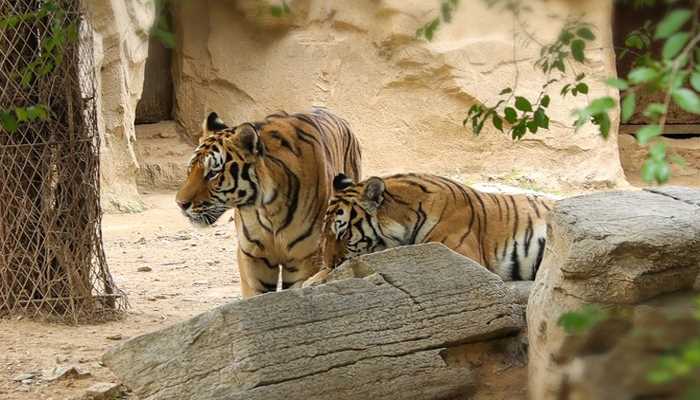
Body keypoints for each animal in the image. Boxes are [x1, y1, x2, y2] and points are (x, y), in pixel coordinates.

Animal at [175, 108, 362, 298]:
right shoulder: (253, 258)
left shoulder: (304, 258)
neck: (268, 208)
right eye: (190, 170)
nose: (180, 203)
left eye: (213, 173)